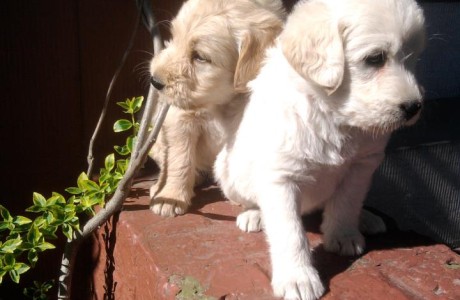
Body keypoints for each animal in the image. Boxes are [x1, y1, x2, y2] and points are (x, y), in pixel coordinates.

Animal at [214, 1, 426, 298]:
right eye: (375, 58)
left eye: (412, 57)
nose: (413, 107)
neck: (332, 113)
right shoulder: (281, 177)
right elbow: (290, 232)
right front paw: (297, 277)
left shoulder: (362, 165)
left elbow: (347, 202)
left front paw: (343, 235)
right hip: (227, 172)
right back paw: (254, 215)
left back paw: (365, 218)